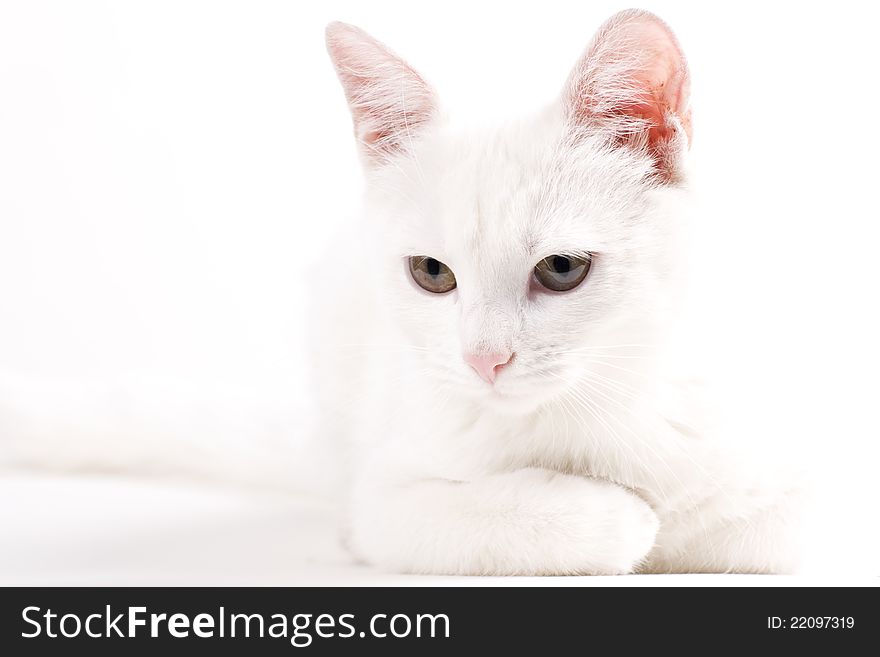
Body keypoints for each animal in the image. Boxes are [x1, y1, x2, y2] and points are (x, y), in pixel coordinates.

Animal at [320, 11, 800, 576]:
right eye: (431, 271)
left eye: (561, 268)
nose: (484, 360)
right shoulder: (381, 501)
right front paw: (620, 517)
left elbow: (757, 526)